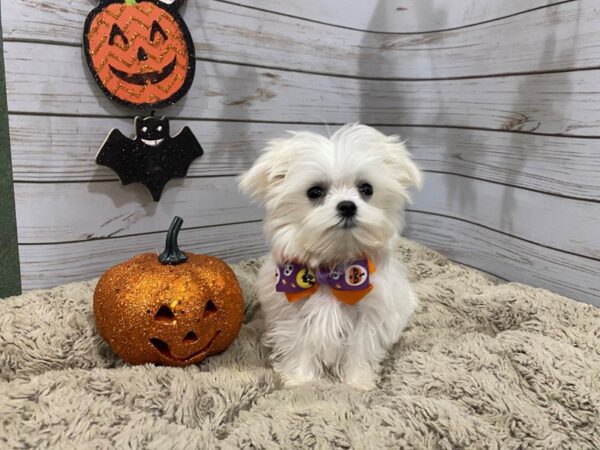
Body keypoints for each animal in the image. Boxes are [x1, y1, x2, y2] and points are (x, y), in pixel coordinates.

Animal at [239, 124, 422, 390]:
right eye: (314, 192)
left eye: (366, 189)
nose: (347, 206)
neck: (332, 269)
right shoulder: (291, 312)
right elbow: (299, 343)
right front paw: (300, 380)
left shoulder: (370, 315)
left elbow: (360, 348)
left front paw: (357, 382)